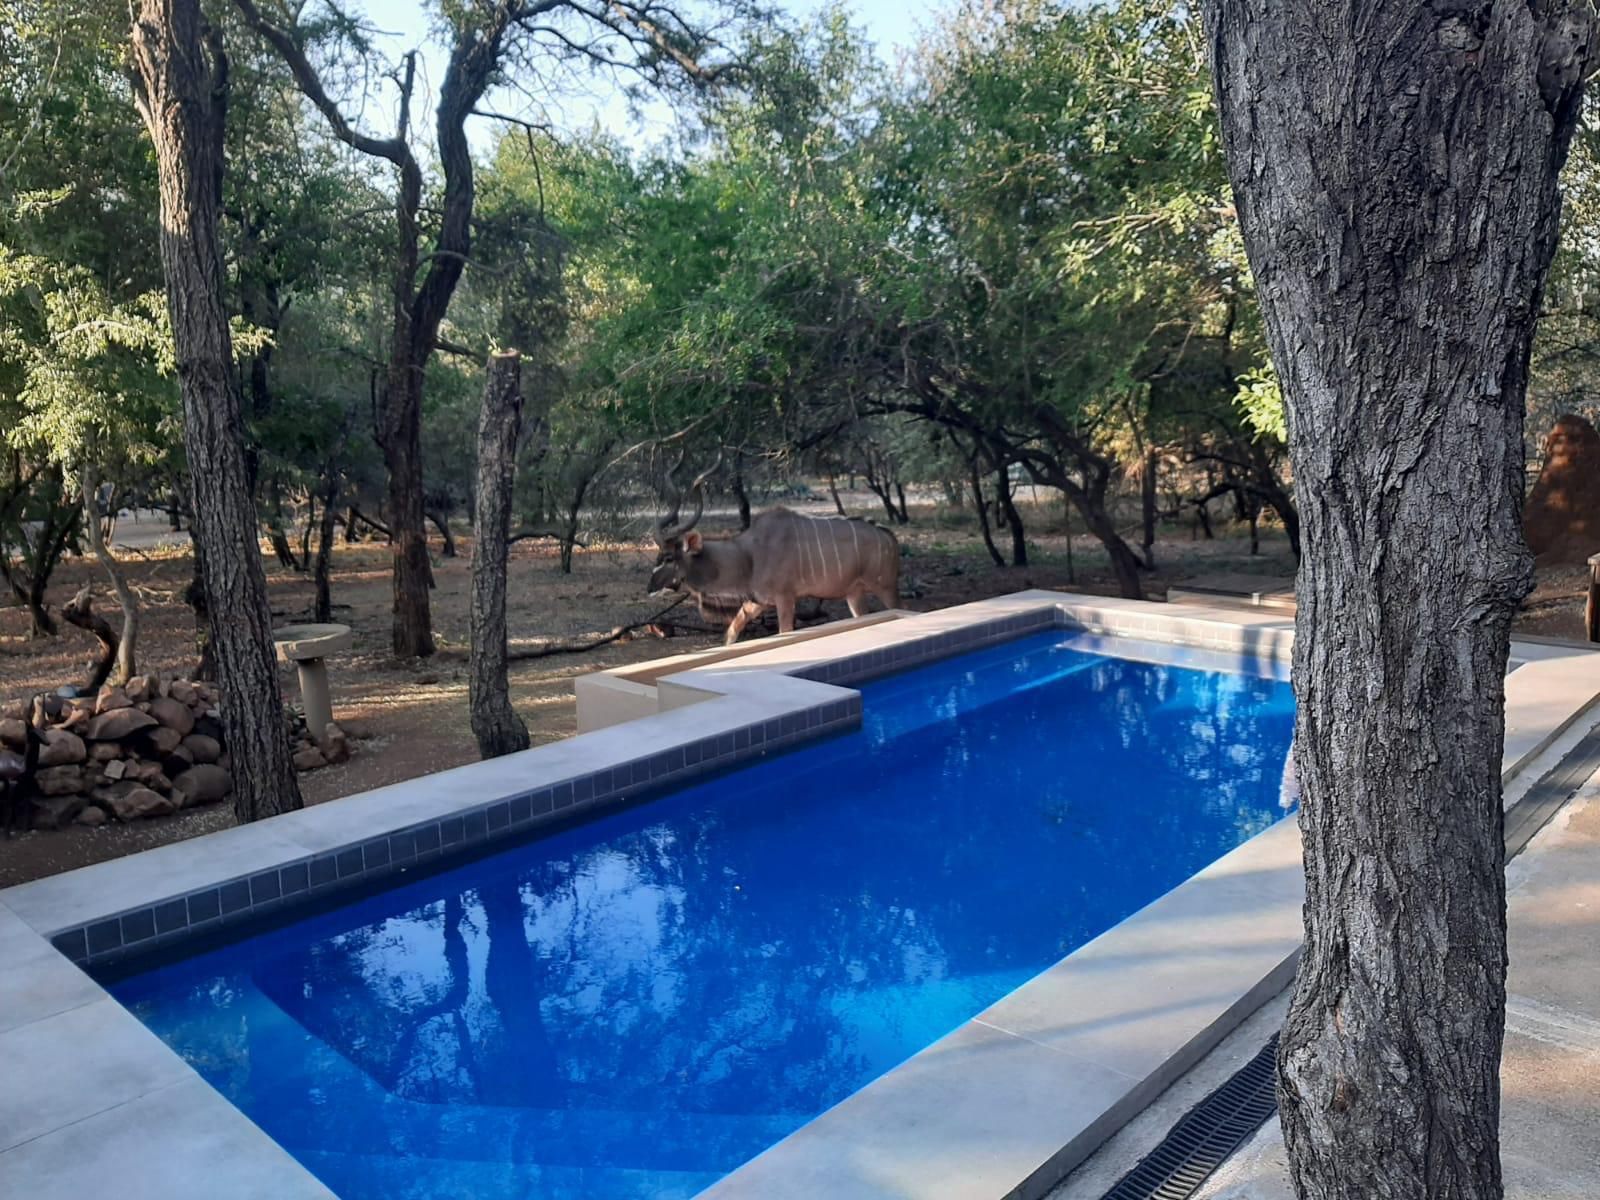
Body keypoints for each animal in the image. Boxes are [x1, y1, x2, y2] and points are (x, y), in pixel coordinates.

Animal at [649, 464, 902, 649]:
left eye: (669, 557)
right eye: (658, 555)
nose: (650, 588)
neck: (748, 556)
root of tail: (890, 537)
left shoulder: (785, 598)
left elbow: (784, 632)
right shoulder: (757, 601)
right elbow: (732, 630)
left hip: (886, 587)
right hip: (854, 594)